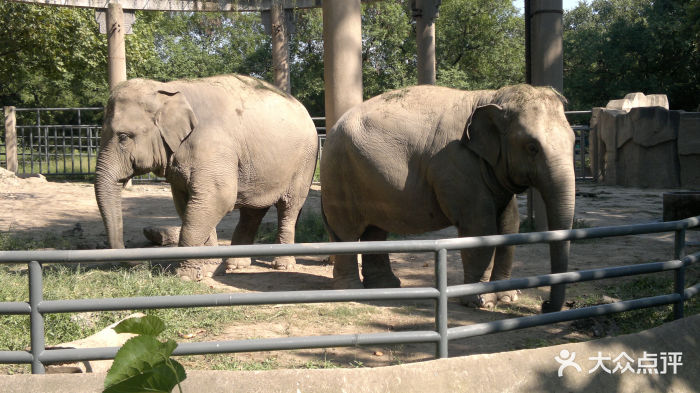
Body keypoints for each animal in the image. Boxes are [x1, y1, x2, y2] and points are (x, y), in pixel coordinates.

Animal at [94, 75, 318, 280]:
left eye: (123, 137)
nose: (139, 265)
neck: (167, 89)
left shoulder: (213, 148)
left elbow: (216, 198)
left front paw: (186, 276)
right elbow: (190, 204)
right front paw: (210, 269)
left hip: (304, 162)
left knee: (289, 207)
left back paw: (283, 265)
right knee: (252, 212)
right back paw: (235, 265)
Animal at [320, 83, 576, 312]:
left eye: (574, 141)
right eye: (532, 147)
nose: (545, 306)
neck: (491, 97)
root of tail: (332, 130)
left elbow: (509, 223)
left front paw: (506, 298)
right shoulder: (457, 163)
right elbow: (479, 227)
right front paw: (480, 302)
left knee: (375, 230)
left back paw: (385, 287)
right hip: (339, 175)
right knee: (346, 232)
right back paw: (351, 292)